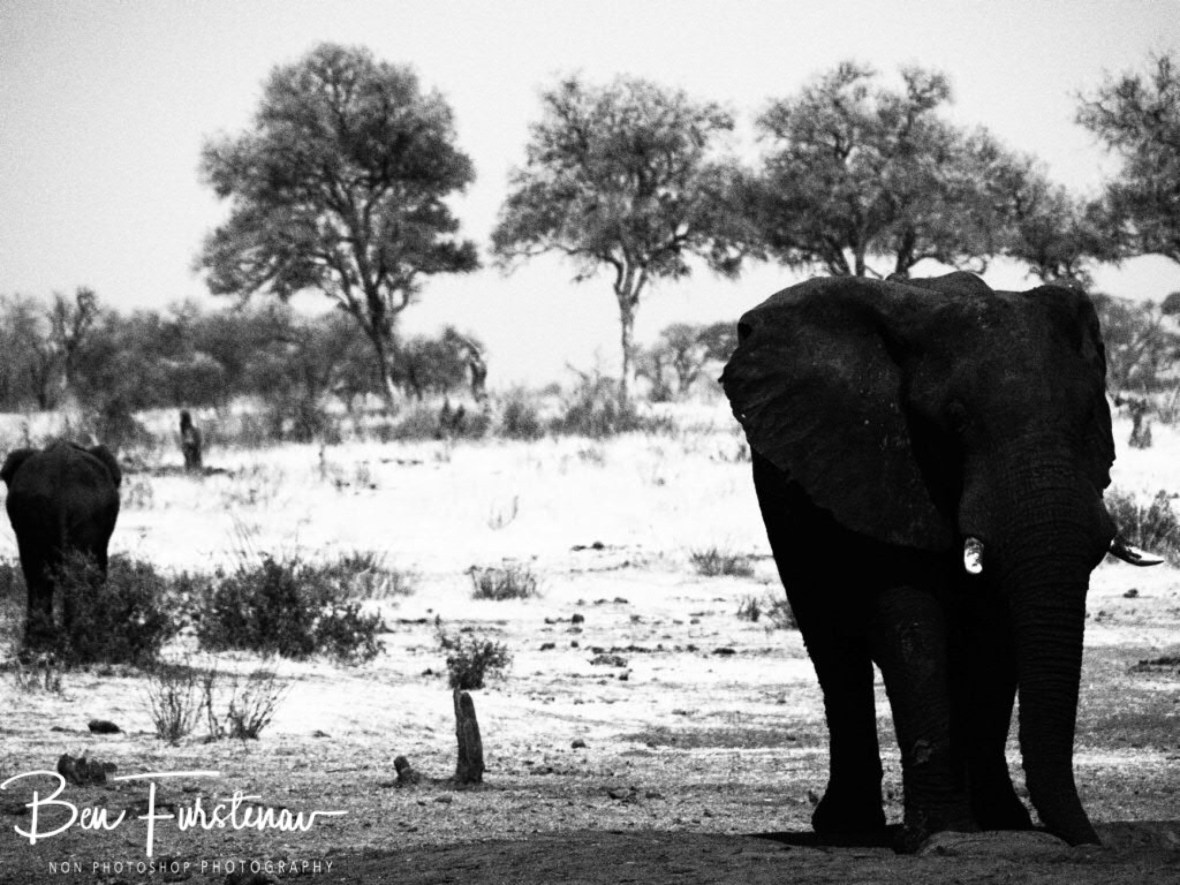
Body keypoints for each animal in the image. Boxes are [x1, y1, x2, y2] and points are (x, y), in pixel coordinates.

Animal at [2, 440, 122, 646]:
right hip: (84, 513)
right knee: (76, 572)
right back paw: (78, 637)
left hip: (34, 513)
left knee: (38, 572)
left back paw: (41, 641)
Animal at [721, 272, 1160, 851]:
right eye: (954, 420)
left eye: (1090, 414)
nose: (1092, 843)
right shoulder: (879, 465)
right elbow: (912, 630)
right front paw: (942, 835)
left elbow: (995, 639)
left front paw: (1000, 826)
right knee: (834, 650)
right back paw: (848, 828)